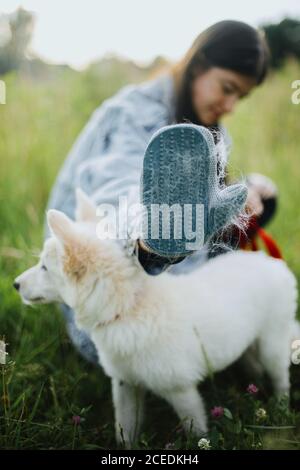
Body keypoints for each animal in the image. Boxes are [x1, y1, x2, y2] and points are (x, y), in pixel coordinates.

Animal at [15, 189, 298, 446]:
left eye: (44, 267)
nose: (15, 285)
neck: (129, 307)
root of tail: (269, 262)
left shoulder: (181, 391)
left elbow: (196, 430)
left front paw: (201, 442)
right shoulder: (126, 386)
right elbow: (125, 430)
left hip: (272, 345)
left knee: (280, 379)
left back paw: (280, 409)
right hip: (247, 346)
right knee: (255, 368)